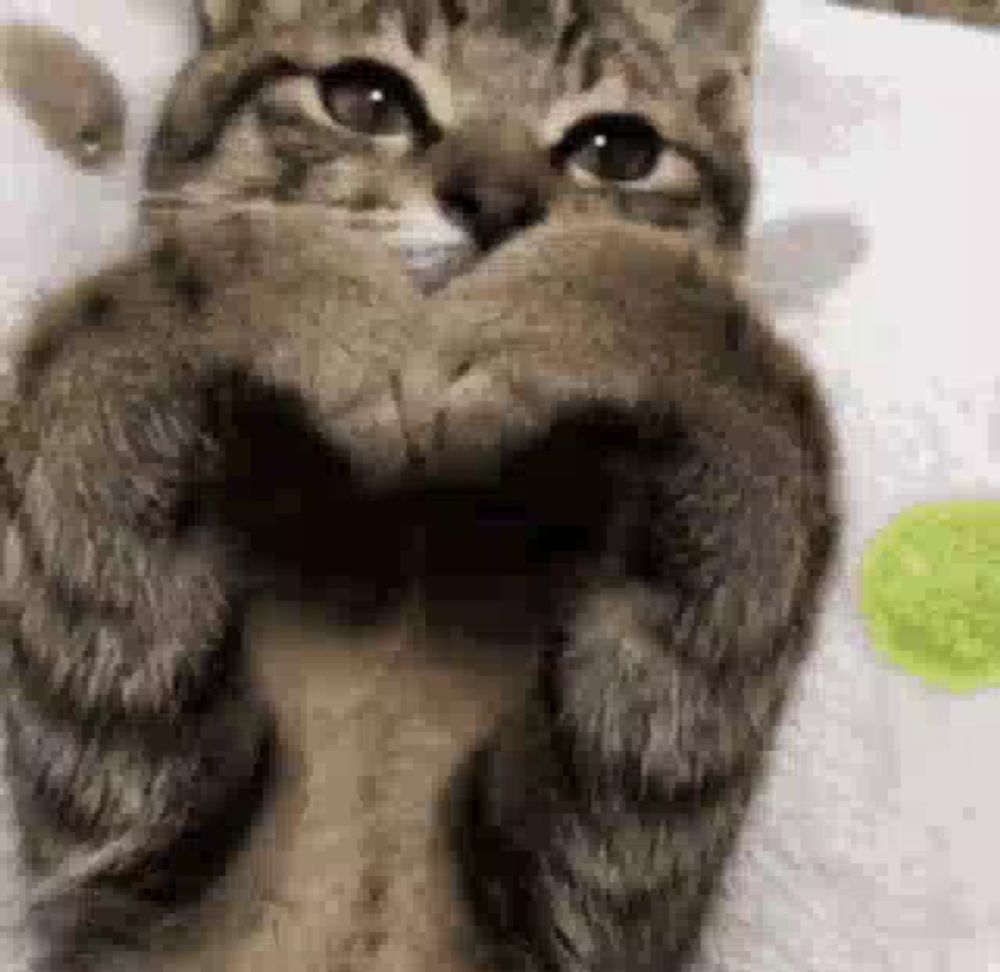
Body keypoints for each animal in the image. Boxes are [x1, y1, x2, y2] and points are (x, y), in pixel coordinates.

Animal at [0, 1, 840, 972]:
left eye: (618, 149)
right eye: (366, 99)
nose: (501, 204)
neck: (416, 524)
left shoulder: (614, 877)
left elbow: (749, 374)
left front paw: (552, 308)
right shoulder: (130, 824)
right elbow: (114, 313)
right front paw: (332, 305)